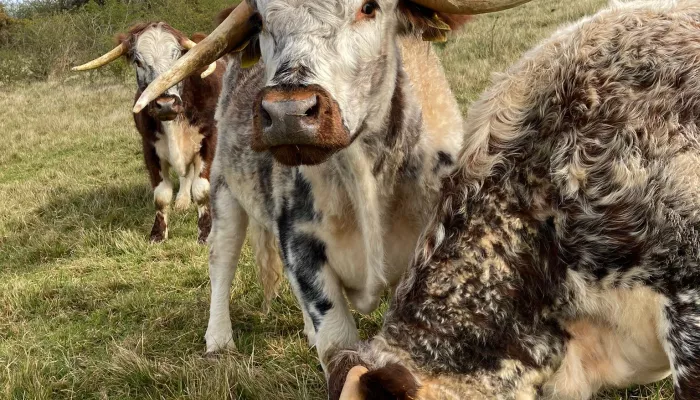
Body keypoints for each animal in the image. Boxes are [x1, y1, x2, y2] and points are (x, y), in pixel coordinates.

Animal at [73, 23, 221, 242]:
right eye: (138, 61)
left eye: (179, 57)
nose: (166, 104)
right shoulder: (150, 148)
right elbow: (161, 195)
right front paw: (158, 233)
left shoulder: (209, 140)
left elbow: (202, 190)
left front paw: (206, 232)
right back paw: (183, 200)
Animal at [133, 0, 532, 370]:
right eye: (259, 20)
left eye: (369, 8)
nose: (288, 115)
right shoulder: (303, 248)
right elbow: (337, 344)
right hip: (223, 189)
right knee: (222, 257)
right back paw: (218, 338)